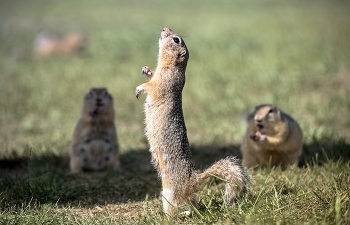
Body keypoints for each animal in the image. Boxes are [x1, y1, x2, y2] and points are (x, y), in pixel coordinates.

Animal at [135, 28, 250, 216]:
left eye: (176, 40)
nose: (164, 29)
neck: (170, 65)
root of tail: (193, 182)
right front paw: (146, 70)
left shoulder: (164, 83)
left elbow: (152, 87)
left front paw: (139, 88)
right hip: (186, 196)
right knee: (194, 204)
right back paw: (188, 213)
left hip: (168, 193)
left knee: (174, 210)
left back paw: (167, 217)